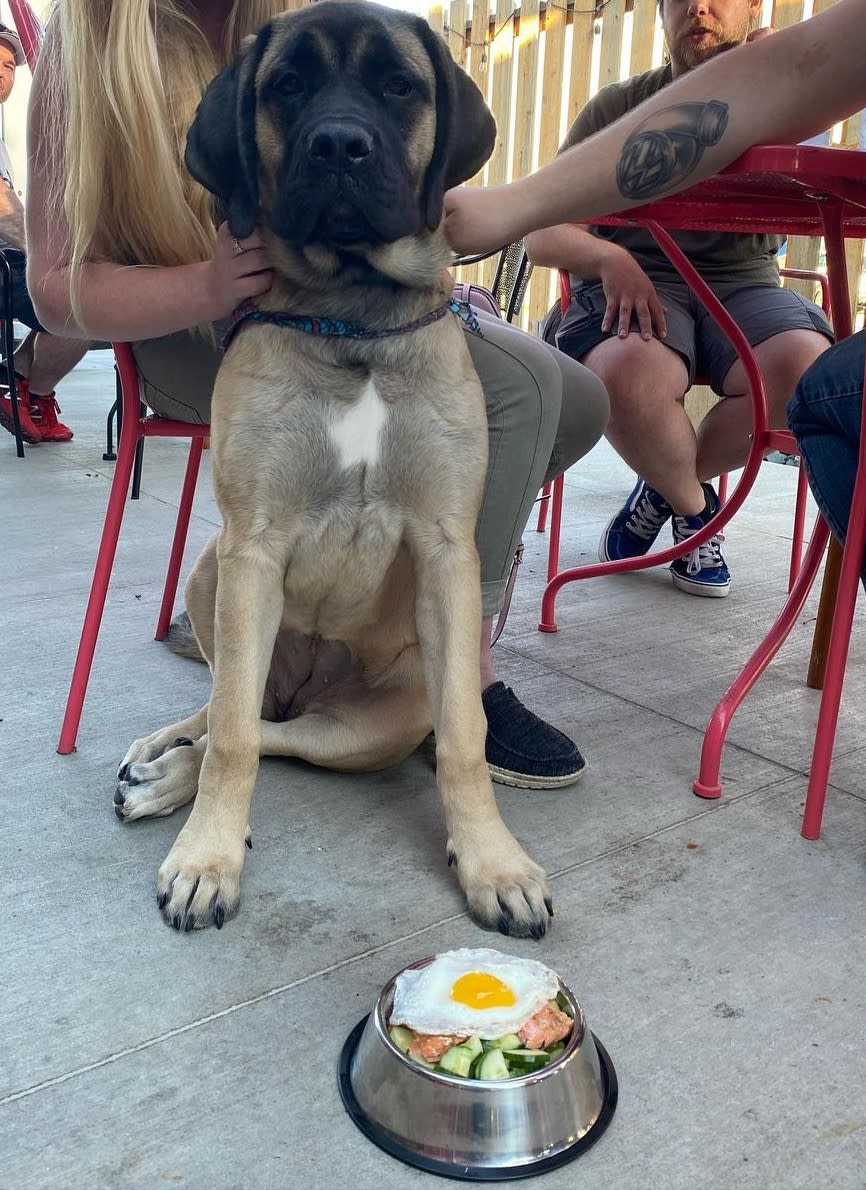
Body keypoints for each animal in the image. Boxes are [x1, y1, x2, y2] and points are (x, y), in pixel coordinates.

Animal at [114, 0, 551, 937]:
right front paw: (208, 858)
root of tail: (303, 689)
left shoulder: (446, 549)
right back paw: (164, 761)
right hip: (214, 576)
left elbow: (465, 742)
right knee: (230, 709)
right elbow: (232, 739)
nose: (340, 146)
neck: (354, 317)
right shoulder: (251, 545)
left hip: (385, 713)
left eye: (399, 86)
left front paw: (493, 863)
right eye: (286, 85)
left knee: (278, 732)